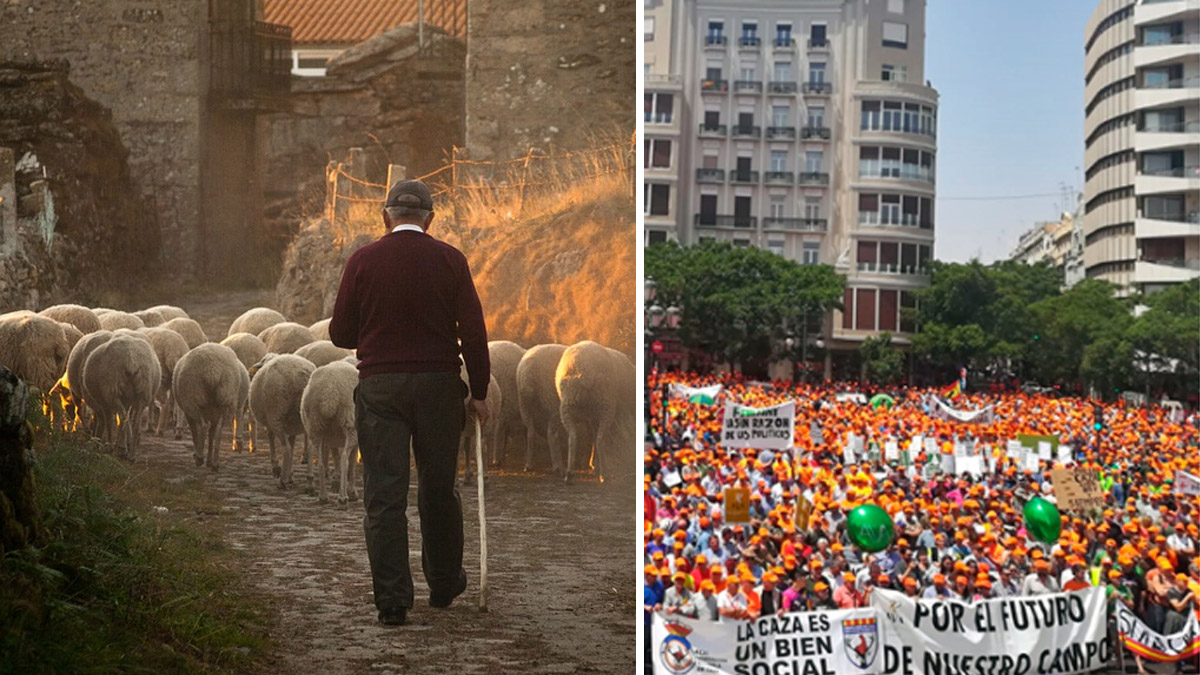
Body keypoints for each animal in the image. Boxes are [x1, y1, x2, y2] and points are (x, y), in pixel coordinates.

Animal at [249, 353, 314, 482]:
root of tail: (300, 374)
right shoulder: (292, 425)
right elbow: (293, 443)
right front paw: (290, 473)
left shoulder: (269, 422)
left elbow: (271, 438)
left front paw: (277, 468)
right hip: (307, 417)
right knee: (309, 447)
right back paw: (310, 477)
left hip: (276, 414)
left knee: (286, 448)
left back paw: (282, 480)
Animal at [298, 360, 357, 502]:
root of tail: (329, 392)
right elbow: (352, 463)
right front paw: (352, 492)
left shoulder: (330, 438)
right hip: (349, 423)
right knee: (345, 458)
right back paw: (343, 498)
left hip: (315, 425)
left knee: (319, 462)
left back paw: (323, 496)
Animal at [554, 338, 638, 480]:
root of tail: (585, 372)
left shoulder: (593, 415)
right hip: (603, 404)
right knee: (599, 437)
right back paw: (602, 473)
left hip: (575, 404)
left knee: (576, 437)